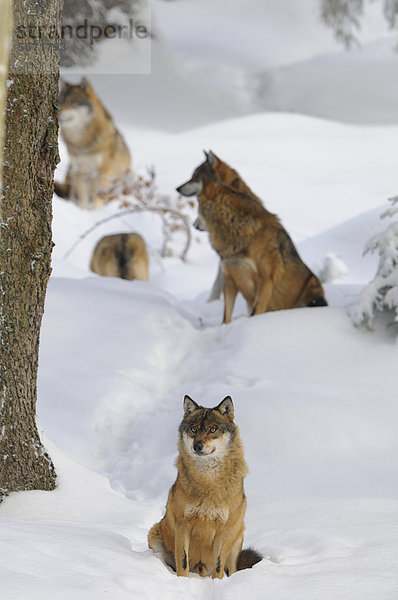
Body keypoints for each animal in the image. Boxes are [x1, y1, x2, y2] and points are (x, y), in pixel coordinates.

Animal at [54, 78, 131, 211]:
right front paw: (83, 210)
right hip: (71, 172)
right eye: (60, 102)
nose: (57, 113)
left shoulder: (101, 172)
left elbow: (97, 196)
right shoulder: (79, 170)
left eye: (71, 103)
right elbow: (82, 197)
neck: (83, 142)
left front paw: (94, 211)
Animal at [146, 396, 262, 580]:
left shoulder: (224, 529)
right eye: (193, 429)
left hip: (238, 536)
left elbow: (218, 565)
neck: (208, 480)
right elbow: (183, 561)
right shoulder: (182, 524)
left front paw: (217, 582)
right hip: (154, 534)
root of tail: (200, 571)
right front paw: (182, 581)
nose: (197, 446)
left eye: (212, 429)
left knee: (232, 569)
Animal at [196, 178, 326, 326]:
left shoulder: (265, 279)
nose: (194, 224)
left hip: (312, 289)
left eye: (197, 207)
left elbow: (255, 312)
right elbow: (226, 316)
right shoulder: (230, 280)